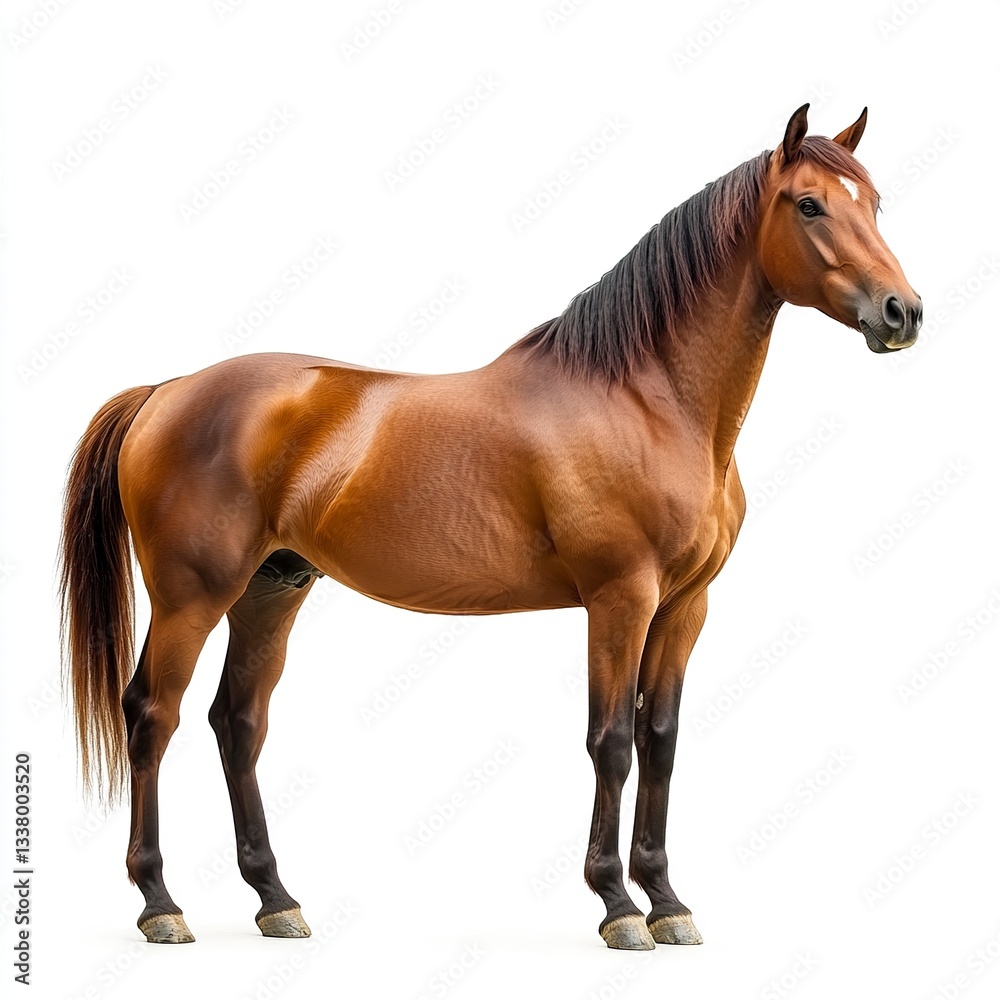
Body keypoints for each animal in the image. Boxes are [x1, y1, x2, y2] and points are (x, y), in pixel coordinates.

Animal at [59, 103, 922, 951]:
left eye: (874, 204)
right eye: (808, 204)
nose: (902, 312)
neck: (647, 401)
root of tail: (167, 390)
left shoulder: (685, 606)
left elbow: (661, 740)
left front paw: (668, 901)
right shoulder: (620, 599)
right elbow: (611, 742)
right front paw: (617, 906)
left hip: (271, 592)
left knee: (237, 724)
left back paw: (276, 899)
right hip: (191, 598)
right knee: (153, 717)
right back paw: (160, 903)